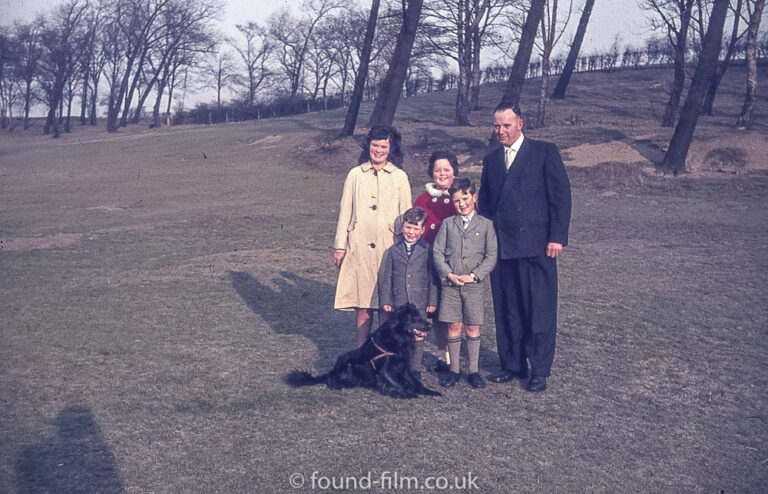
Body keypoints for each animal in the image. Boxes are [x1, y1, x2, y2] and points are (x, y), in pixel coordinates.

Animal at [284, 304, 440, 398]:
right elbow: (396, 383)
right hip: (348, 365)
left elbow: (415, 381)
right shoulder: (385, 369)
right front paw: (407, 393)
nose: (430, 326)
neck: (397, 336)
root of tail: (332, 371)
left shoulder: (404, 365)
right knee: (331, 380)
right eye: (415, 318)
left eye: (420, 316)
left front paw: (429, 391)